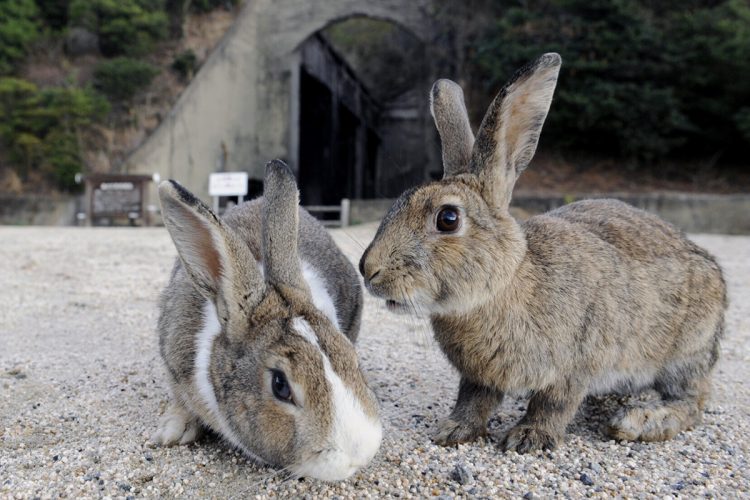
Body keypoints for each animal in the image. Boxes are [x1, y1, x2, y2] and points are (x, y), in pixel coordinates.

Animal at [358, 53, 728, 454]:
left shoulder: (575, 363)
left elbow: (553, 403)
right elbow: (473, 400)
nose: (368, 269)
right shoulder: (480, 376)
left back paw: (637, 421)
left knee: (691, 402)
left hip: (685, 352)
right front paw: (454, 430)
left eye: (448, 218)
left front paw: (528, 438)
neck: (503, 286)